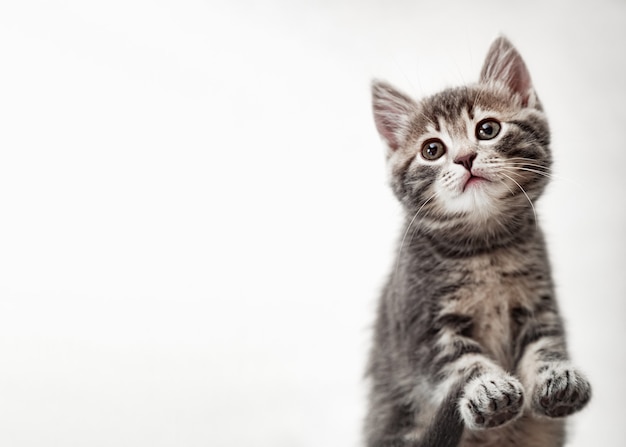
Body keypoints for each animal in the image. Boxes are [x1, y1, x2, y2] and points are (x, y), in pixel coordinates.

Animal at [364, 36, 588, 446]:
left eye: (487, 129)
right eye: (432, 150)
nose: (466, 158)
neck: (485, 248)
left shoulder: (540, 303)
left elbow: (545, 343)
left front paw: (556, 377)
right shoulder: (421, 323)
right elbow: (459, 362)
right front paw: (487, 388)